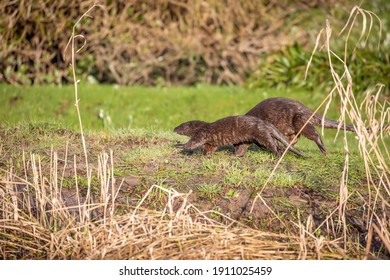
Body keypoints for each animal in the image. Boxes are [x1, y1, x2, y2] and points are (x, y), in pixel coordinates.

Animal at [174, 115, 308, 156]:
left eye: (180, 126)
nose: (174, 128)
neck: (202, 126)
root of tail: (266, 124)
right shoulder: (210, 142)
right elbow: (209, 147)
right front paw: (206, 155)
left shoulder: (201, 133)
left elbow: (192, 143)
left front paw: (180, 145)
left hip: (261, 135)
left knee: (273, 144)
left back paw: (277, 153)